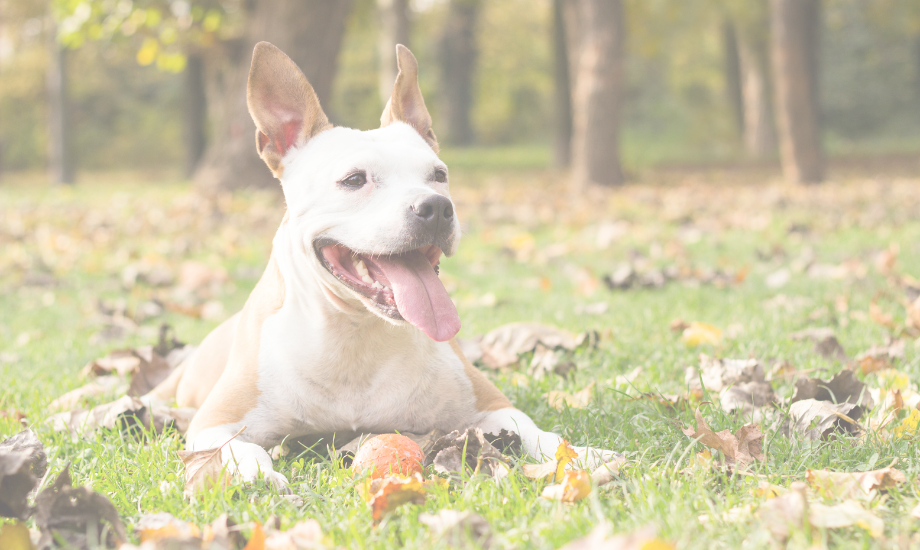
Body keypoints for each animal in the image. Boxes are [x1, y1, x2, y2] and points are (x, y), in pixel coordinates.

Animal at [146, 41, 620, 488]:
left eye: (439, 175)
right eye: (354, 180)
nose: (436, 208)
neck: (356, 333)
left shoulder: (492, 406)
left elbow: (539, 433)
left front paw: (583, 456)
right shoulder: (216, 423)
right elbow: (238, 449)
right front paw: (254, 475)